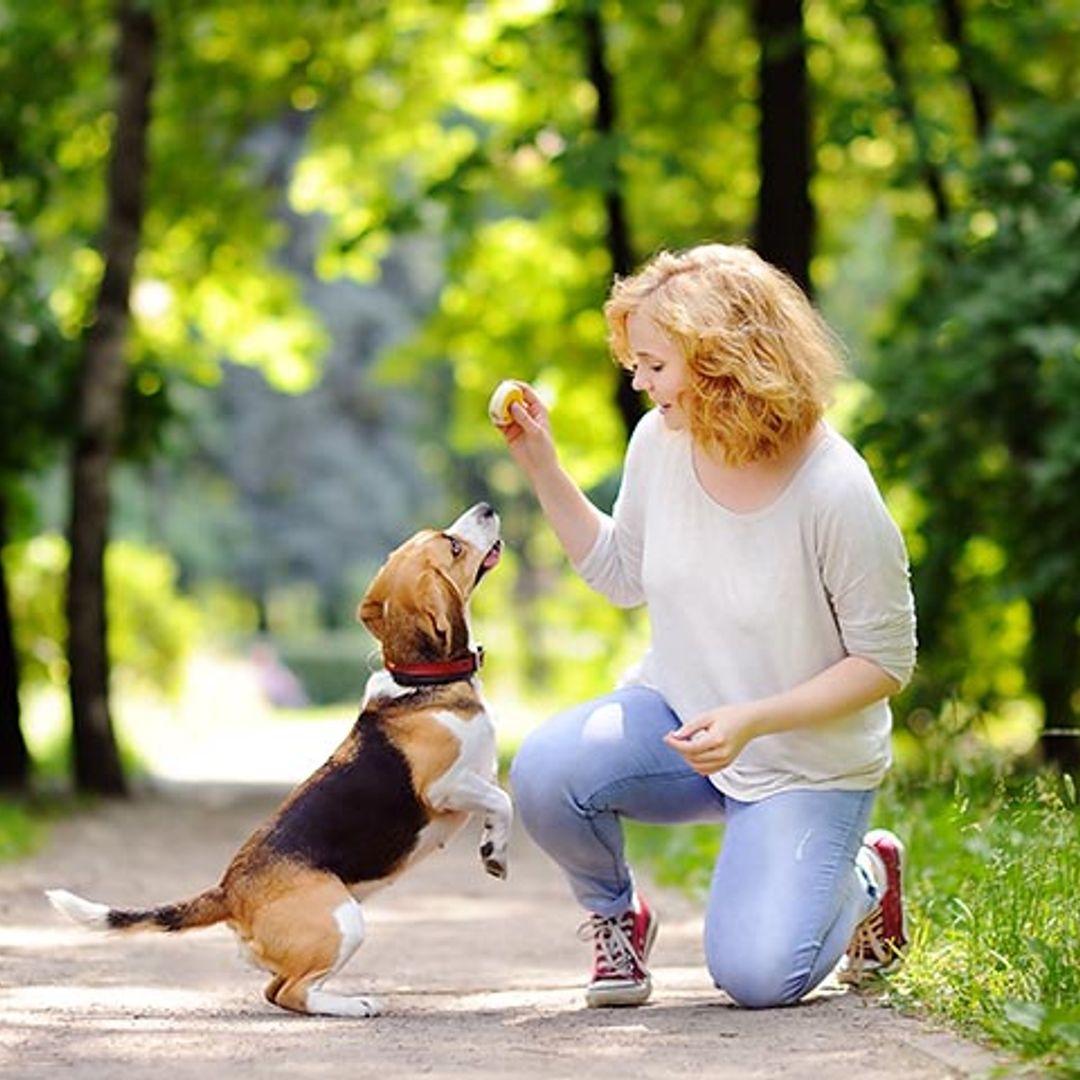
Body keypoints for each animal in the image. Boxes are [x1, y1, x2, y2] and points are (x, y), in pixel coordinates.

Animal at [52, 501, 516, 1015]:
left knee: (275, 991)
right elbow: (503, 801)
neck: (422, 681)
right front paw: (496, 854)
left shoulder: (481, 775)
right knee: (294, 992)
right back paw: (354, 1005)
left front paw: (491, 845)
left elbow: (498, 799)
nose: (486, 508)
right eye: (453, 546)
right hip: (344, 921)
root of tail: (229, 891)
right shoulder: (444, 787)